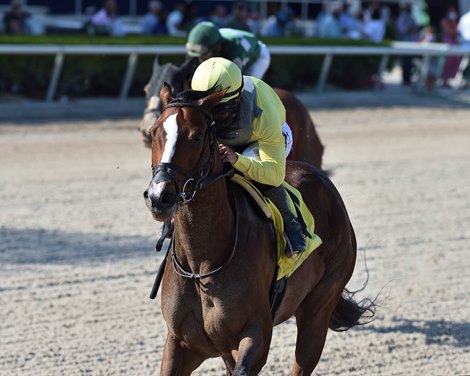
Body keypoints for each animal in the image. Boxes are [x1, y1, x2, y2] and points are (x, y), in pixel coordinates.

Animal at [143, 83, 374, 374]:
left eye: (196, 137)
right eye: (154, 133)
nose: (159, 196)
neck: (202, 262)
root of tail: (322, 178)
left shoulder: (256, 334)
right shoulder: (181, 343)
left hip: (318, 308)